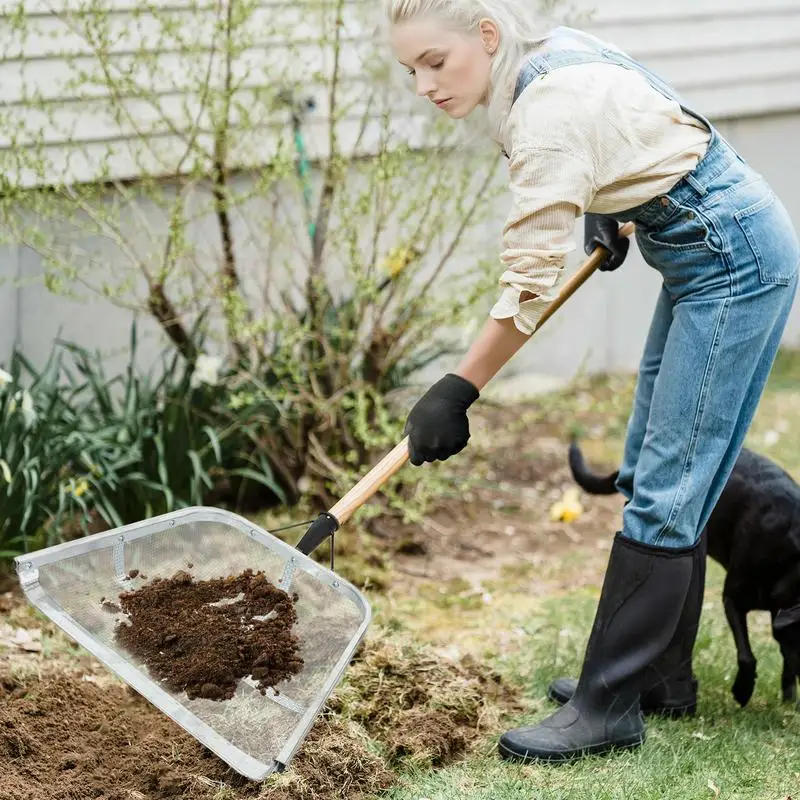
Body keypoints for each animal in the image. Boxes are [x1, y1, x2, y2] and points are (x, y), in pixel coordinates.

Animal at [568, 440, 800, 708]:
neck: (790, 561)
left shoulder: (780, 619)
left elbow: (788, 658)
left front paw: (788, 697)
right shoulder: (733, 600)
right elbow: (746, 654)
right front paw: (743, 689)